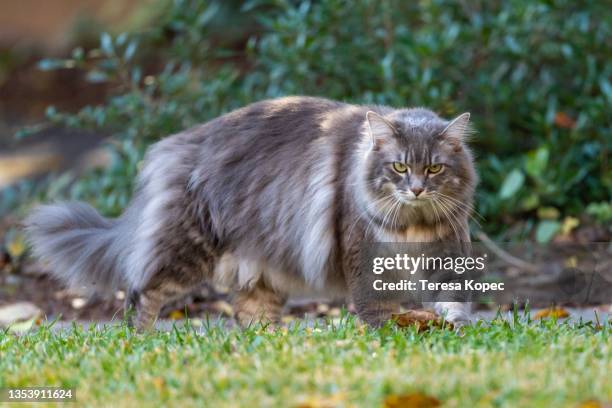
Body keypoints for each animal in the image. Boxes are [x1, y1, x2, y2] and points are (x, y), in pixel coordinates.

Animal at [25, 95, 478, 328]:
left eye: (434, 168)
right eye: (399, 167)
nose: (416, 189)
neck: (413, 226)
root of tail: (175, 145)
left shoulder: (447, 253)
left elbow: (454, 299)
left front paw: (449, 326)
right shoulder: (362, 250)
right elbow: (376, 306)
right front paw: (391, 329)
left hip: (260, 269)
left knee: (252, 317)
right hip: (185, 250)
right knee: (143, 295)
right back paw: (144, 342)